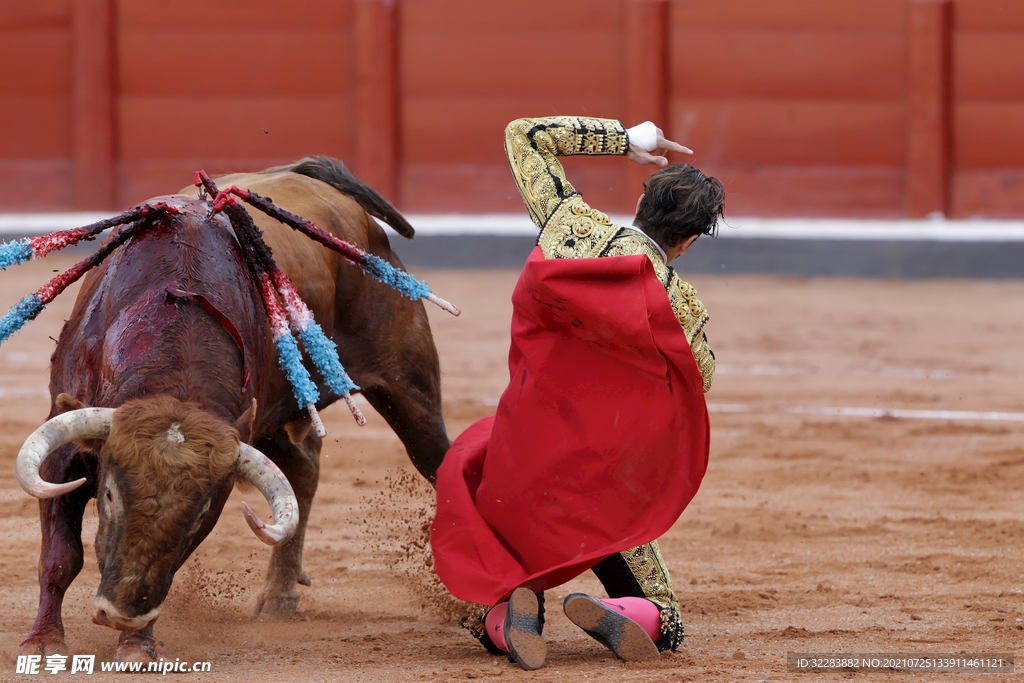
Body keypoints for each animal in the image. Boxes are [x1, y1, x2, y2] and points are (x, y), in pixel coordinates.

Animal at [12, 158, 450, 663]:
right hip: (272, 418)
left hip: (409, 386)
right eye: (108, 495)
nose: (122, 613)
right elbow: (61, 556)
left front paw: (138, 645)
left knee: (435, 459)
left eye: (202, 512)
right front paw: (43, 642)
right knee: (304, 469)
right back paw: (279, 596)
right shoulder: (63, 450)